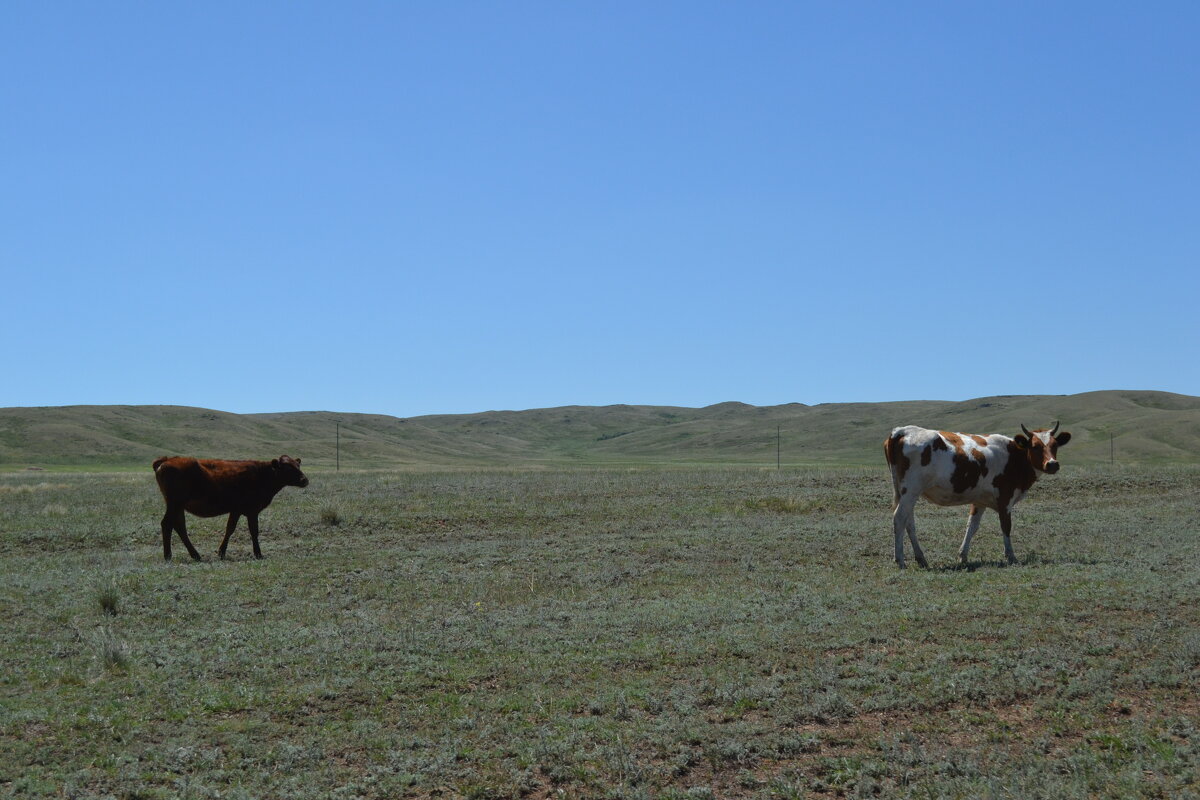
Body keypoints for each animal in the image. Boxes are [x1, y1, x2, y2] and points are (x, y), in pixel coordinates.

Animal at [152, 455, 309, 563]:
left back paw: (195, 555)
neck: (263, 474)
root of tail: (167, 460)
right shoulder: (252, 510)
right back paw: (168, 556)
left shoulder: (236, 510)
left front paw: (221, 552)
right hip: (175, 504)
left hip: (178, 506)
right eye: (288, 468)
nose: (305, 480)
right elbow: (253, 531)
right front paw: (258, 554)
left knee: (179, 526)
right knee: (167, 524)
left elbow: (230, 528)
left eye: (298, 465)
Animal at [883, 424, 1070, 568]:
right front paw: (1011, 557)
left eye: (1055, 445)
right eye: (1035, 446)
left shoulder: (979, 501)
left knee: (909, 522)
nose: (1052, 464)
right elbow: (1006, 526)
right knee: (899, 518)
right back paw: (900, 560)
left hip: (907, 492)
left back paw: (921, 558)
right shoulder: (1005, 499)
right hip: (911, 490)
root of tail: (902, 431)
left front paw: (963, 556)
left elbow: (971, 526)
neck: (1015, 457)